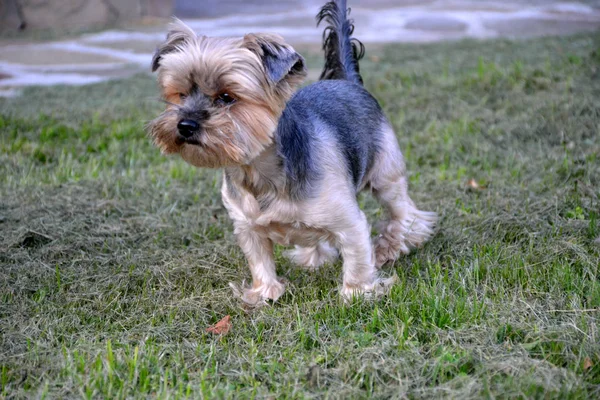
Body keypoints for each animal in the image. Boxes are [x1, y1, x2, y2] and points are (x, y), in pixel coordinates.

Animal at [145, 0, 436, 304]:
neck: (258, 171)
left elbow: (357, 257)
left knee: (402, 211)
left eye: (226, 97)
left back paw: (392, 246)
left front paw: (356, 293)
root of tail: (349, 81)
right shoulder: (247, 226)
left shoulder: (349, 222)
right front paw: (264, 293)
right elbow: (259, 259)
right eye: (180, 95)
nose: (185, 125)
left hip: (385, 173)